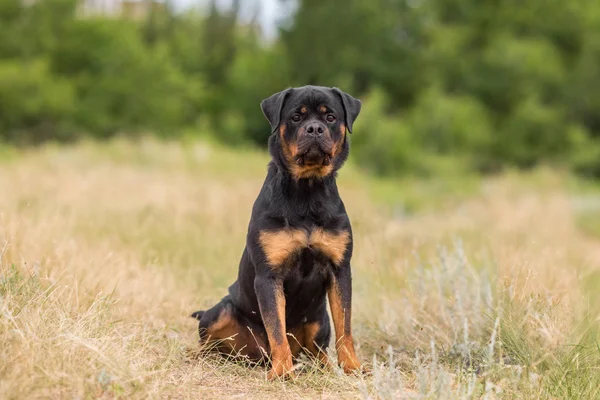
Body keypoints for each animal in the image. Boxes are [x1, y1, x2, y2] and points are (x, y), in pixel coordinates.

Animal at [191, 86, 360, 380]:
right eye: (296, 117)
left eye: (330, 117)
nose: (314, 128)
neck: (307, 192)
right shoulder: (269, 275)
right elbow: (276, 328)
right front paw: (282, 372)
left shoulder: (340, 270)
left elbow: (345, 327)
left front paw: (352, 367)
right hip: (219, 312)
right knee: (209, 341)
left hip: (319, 320)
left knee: (318, 350)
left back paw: (326, 366)